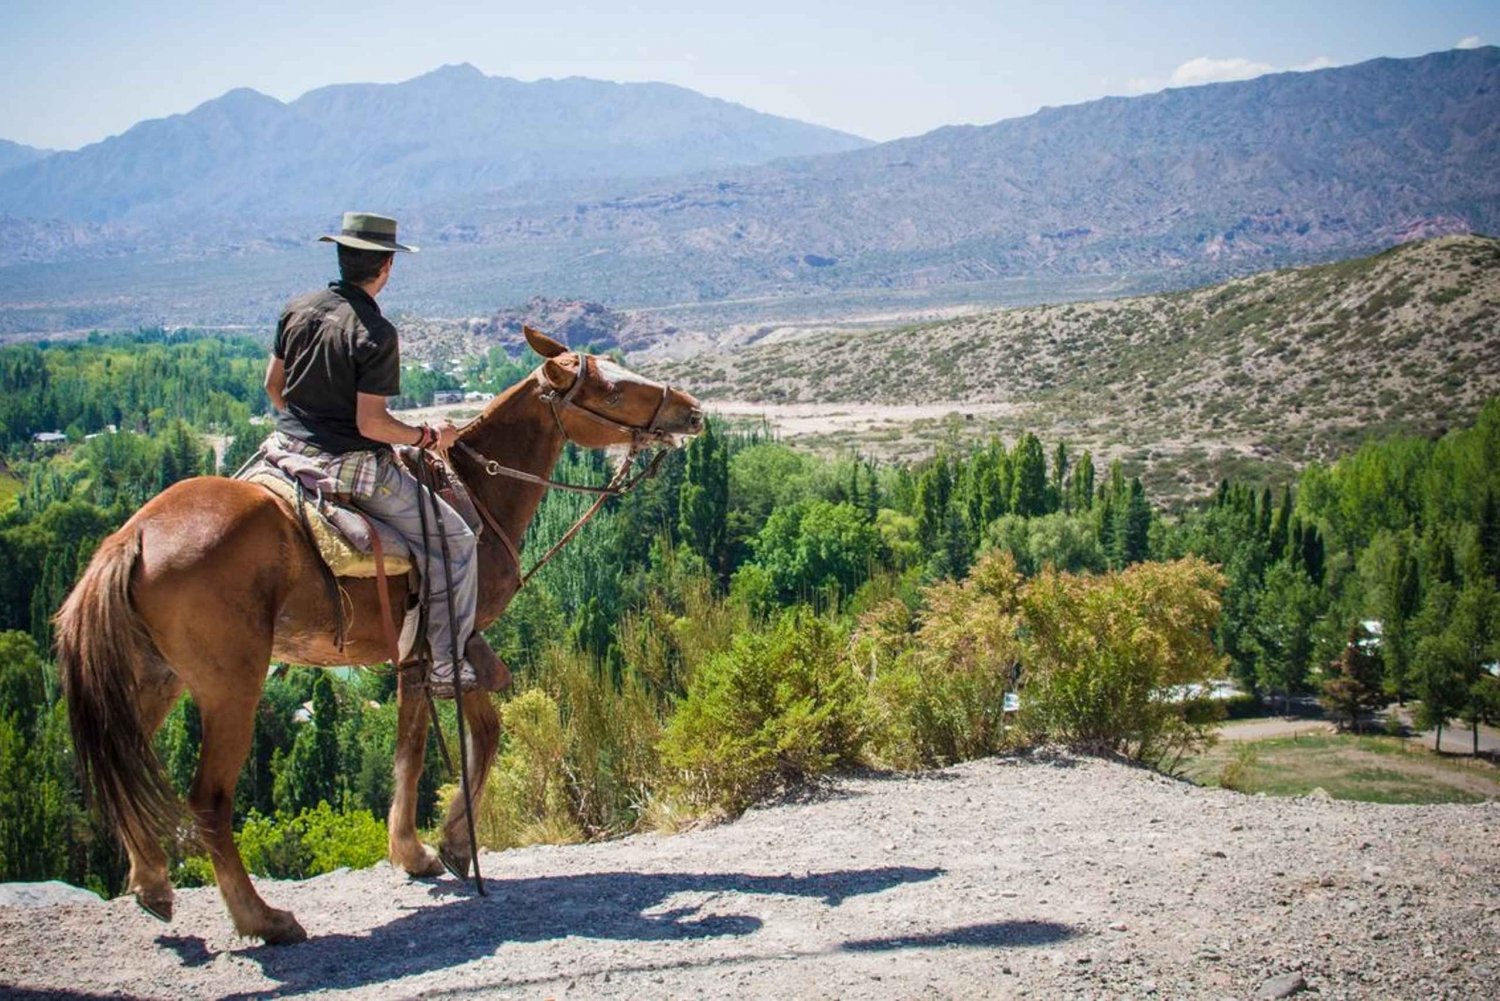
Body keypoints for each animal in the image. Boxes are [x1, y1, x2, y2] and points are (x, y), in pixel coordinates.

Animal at [52, 327, 696, 942]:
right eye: (611, 390)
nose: (690, 410)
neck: (476, 491)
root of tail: (132, 538)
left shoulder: (412, 653)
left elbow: (408, 750)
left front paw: (411, 852)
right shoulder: (453, 640)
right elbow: (483, 735)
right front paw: (454, 844)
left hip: (155, 677)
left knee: (122, 764)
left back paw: (153, 884)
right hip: (230, 685)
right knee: (208, 799)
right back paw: (263, 919)